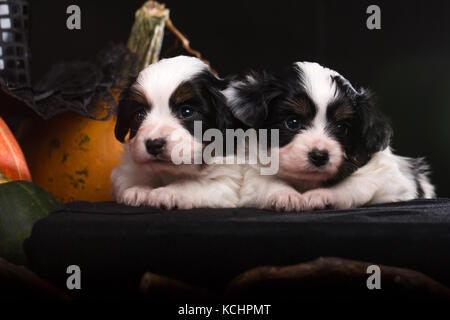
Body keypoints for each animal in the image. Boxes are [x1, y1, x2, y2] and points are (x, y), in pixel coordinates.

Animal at [110, 56, 241, 209]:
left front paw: (167, 192)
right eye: (140, 115)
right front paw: (139, 188)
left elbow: (196, 183)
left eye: (187, 112)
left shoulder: (227, 181)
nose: (154, 144)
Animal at [227, 61, 434, 211]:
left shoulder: (389, 180)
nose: (319, 156)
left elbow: (355, 184)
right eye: (292, 122)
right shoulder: (252, 170)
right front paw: (285, 195)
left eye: (341, 127)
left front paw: (322, 195)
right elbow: (264, 181)